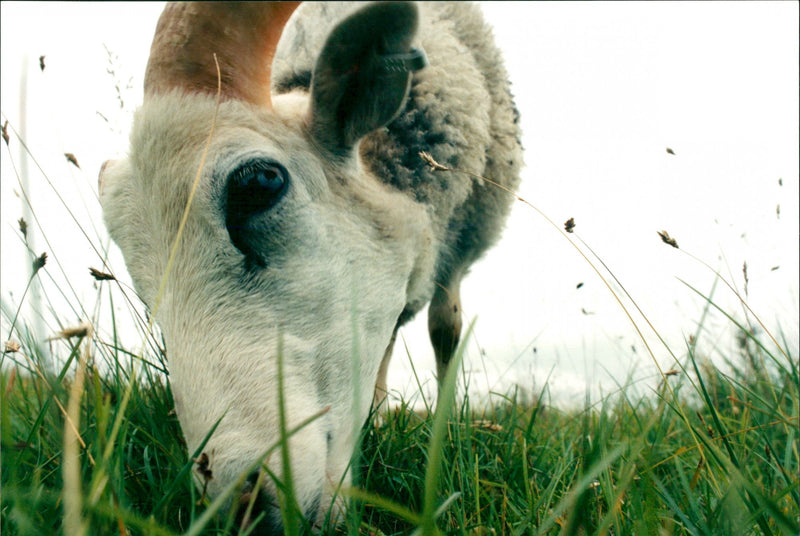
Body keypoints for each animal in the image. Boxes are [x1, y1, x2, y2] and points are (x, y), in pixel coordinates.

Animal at [98, 1, 520, 532]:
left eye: (260, 183)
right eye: (140, 281)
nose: (243, 506)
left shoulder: (460, 242)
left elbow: (445, 329)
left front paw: (448, 432)